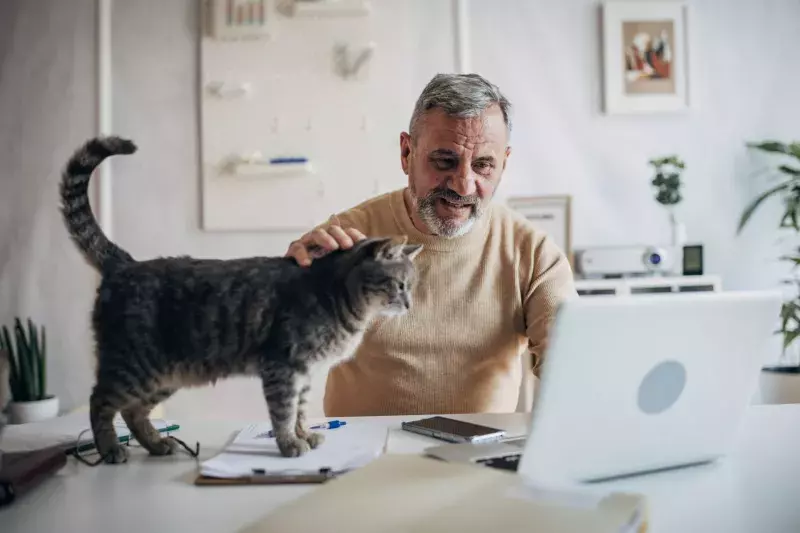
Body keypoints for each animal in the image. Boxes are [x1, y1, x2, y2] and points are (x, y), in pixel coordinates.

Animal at [59, 136, 422, 462]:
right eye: (400, 285)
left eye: (411, 286)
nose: (409, 305)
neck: (338, 296)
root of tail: (125, 264)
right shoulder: (283, 367)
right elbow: (283, 412)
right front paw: (290, 444)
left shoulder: (304, 375)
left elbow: (301, 411)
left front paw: (305, 434)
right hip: (134, 364)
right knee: (100, 402)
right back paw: (110, 449)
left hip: (163, 375)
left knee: (133, 412)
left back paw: (157, 445)